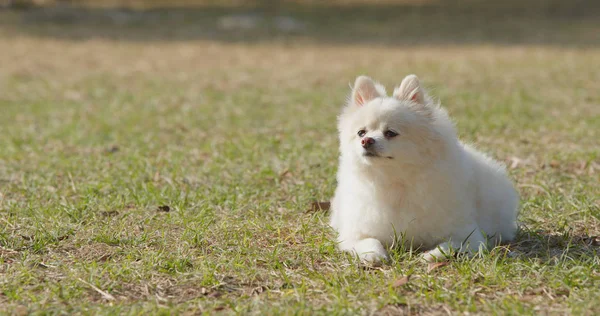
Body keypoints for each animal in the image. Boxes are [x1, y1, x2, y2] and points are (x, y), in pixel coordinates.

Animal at [330, 75, 516, 262]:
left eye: (390, 133)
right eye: (361, 132)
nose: (366, 141)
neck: (395, 182)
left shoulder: (471, 236)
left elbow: (449, 245)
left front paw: (431, 255)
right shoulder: (353, 233)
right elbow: (369, 241)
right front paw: (373, 255)